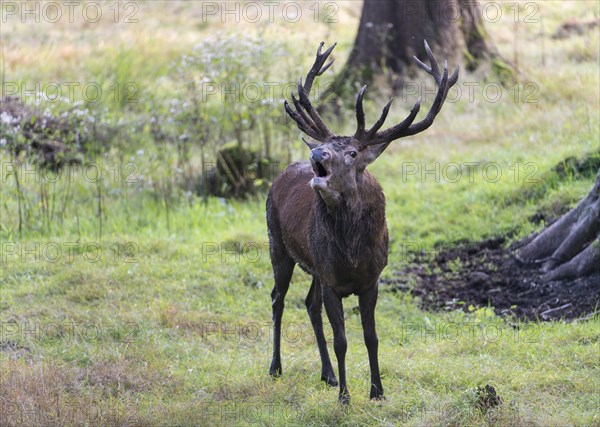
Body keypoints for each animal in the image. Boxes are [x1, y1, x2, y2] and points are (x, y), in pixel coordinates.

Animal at [268, 41, 460, 404]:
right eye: (326, 145)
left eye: (353, 153)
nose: (317, 155)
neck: (353, 254)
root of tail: (281, 174)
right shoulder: (332, 281)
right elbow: (342, 341)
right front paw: (345, 397)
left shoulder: (370, 279)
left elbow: (371, 337)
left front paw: (377, 391)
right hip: (278, 245)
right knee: (277, 298)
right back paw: (276, 367)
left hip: (314, 266)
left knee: (309, 304)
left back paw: (327, 374)